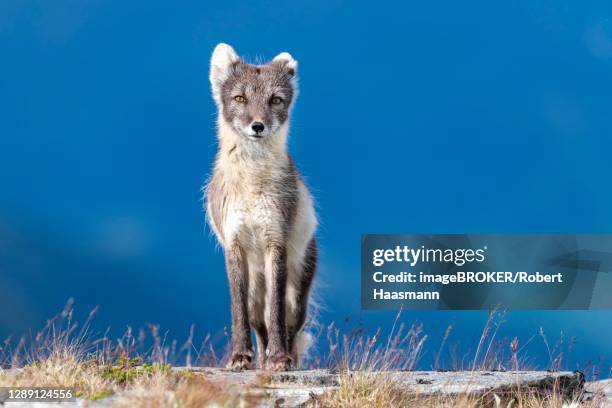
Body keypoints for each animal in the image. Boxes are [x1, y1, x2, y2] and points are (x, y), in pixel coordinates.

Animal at [207, 43, 320, 372]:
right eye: (240, 98)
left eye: (275, 100)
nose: (257, 126)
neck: (252, 181)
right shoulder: (234, 243)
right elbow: (238, 311)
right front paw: (240, 356)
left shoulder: (275, 240)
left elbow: (276, 311)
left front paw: (279, 358)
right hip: (255, 293)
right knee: (259, 324)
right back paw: (259, 357)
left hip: (297, 294)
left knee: (288, 325)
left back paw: (286, 358)